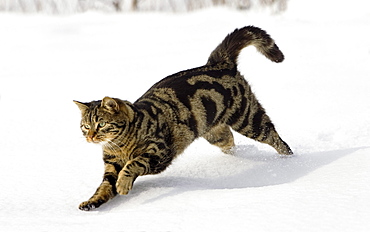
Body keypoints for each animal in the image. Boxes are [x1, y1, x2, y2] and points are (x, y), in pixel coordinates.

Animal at [74, 24, 292, 210]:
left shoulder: (159, 152)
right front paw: (92, 202)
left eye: (101, 123)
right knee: (230, 142)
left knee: (276, 138)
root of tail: (219, 62)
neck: (119, 145)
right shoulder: (111, 166)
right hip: (216, 133)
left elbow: (133, 164)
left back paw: (288, 160)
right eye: (85, 126)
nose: (90, 137)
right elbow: (104, 186)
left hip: (248, 118)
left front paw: (123, 184)